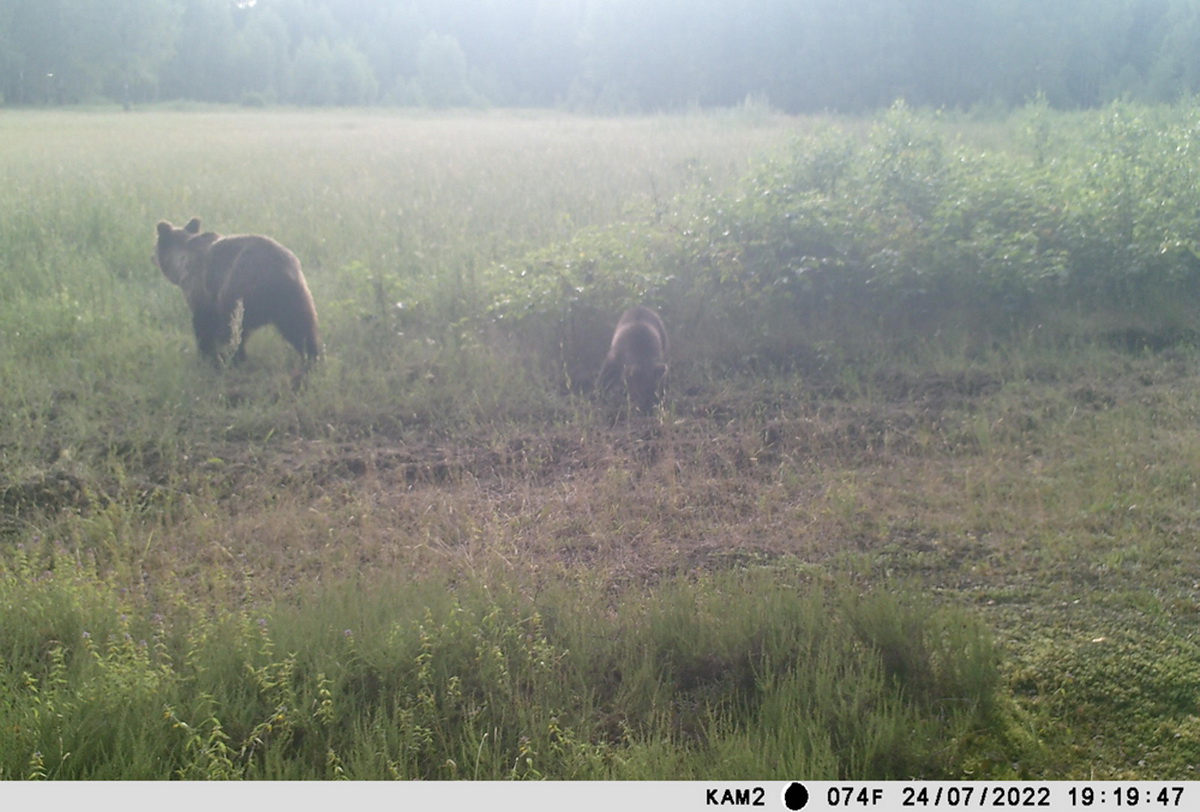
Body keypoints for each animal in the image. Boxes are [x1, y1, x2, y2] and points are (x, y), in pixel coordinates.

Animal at [157, 218, 321, 364]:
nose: (153, 257)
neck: (182, 262)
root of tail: (279, 271)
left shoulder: (201, 291)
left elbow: (205, 325)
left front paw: (208, 354)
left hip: (239, 289)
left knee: (234, 330)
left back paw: (234, 357)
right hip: (293, 296)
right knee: (301, 327)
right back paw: (312, 357)